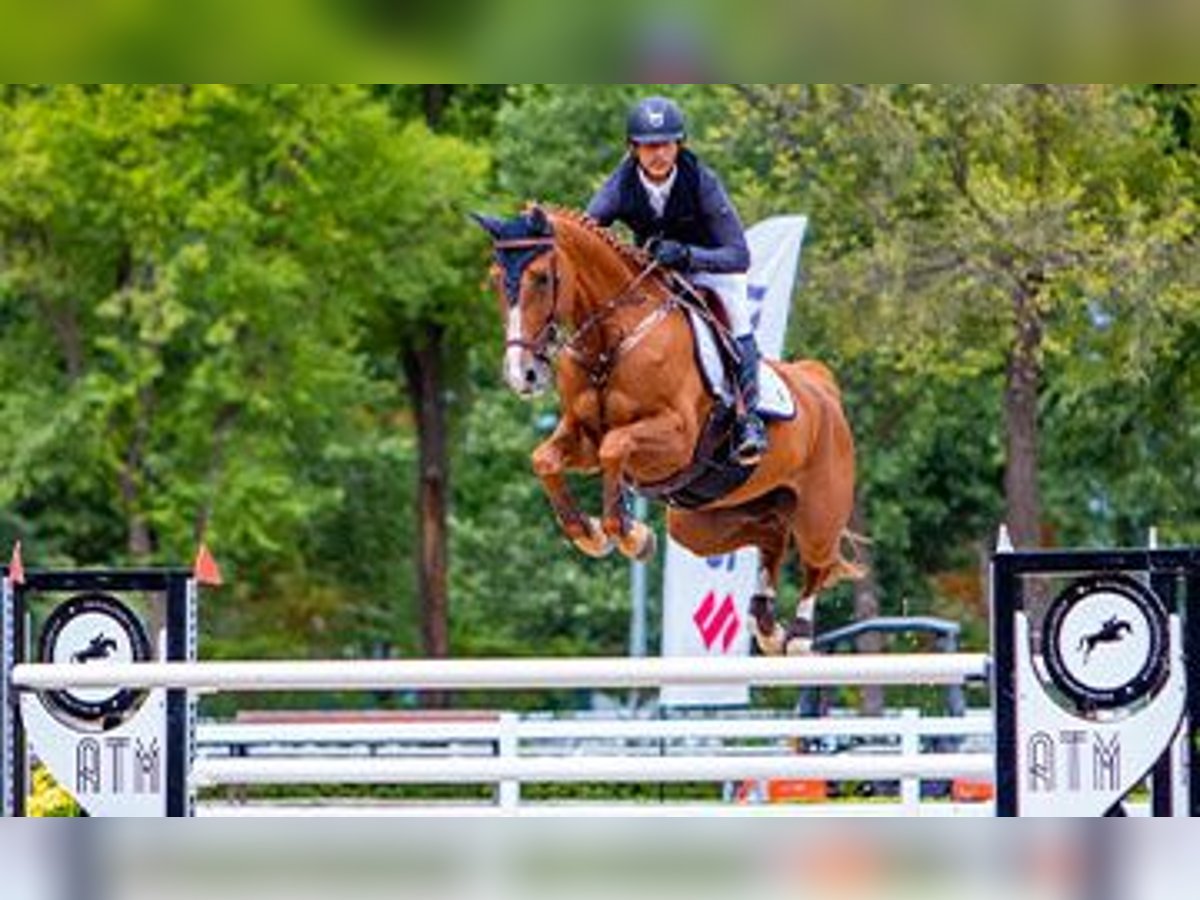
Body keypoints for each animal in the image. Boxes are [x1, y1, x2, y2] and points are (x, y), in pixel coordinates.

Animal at [473, 203, 862, 655]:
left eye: (541, 277)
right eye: (496, 279)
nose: (523, 375)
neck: (611, 342)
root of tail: (822, 386)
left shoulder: (676, 439)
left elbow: (615, 446)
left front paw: (627, 533)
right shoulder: (583, 436)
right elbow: (546, 459)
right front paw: (593, 533)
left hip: (820, 509)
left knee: (817, 560)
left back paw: (796, 635)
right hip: (703, 522)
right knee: (771, 533)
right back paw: (766, 624)